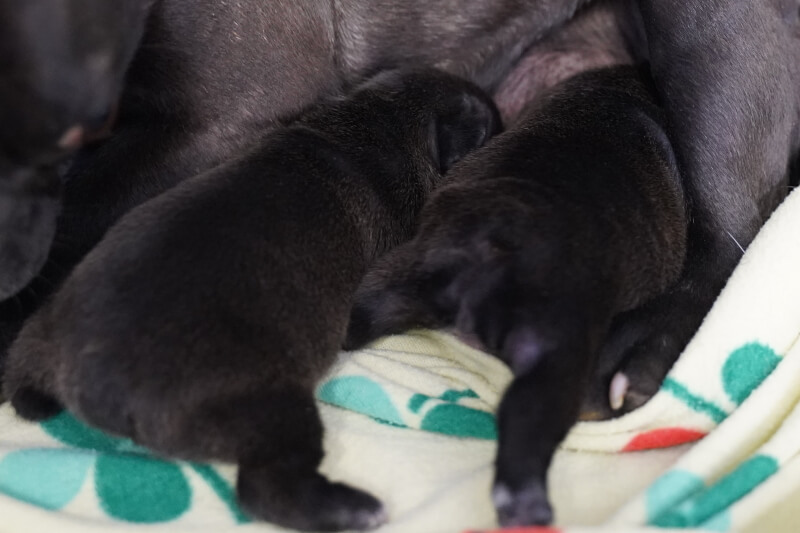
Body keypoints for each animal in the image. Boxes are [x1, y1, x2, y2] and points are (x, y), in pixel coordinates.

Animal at [1, 68, 500, 528]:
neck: (379, 118)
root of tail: (90, 386)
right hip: (272, 413)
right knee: (264, 489)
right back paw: (352, 509)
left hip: (38, 336)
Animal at [344, 64, 688, 524]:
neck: (614, 94)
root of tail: (488, 261)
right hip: (556, 358)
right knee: (528, 430)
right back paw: (528, 507)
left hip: (395, 277)